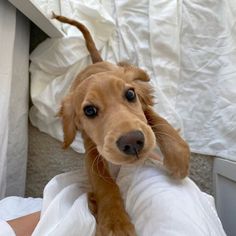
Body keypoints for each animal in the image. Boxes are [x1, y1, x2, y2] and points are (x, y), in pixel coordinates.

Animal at [53, 14, 190, 236]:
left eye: (130, 94)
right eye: (89, 111)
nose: (133, 142)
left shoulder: (142, 105)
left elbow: (158, 121)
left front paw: (179, 157)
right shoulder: (92, 148)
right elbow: (103, 183)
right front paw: (115, 222)